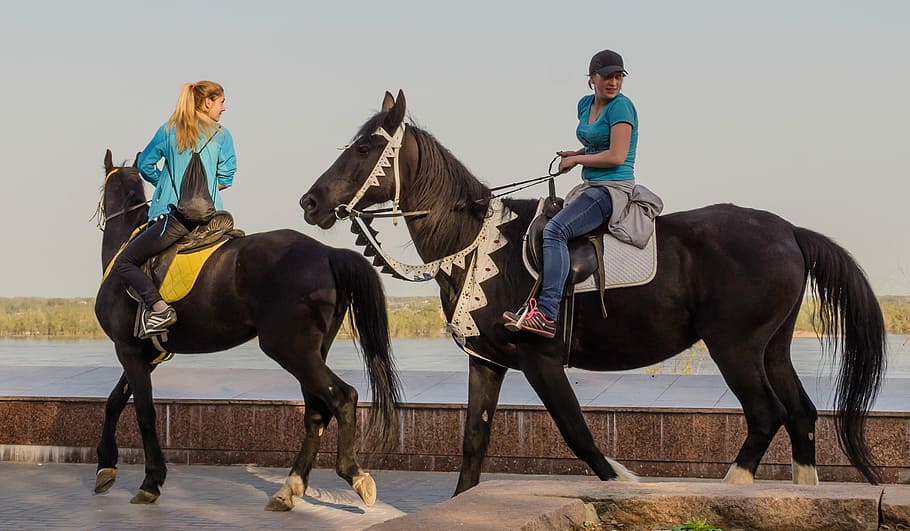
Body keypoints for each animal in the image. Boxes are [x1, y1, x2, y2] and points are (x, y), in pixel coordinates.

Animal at [93, 150, 401, 510]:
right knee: (316, 412)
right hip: (312, 350)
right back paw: (290, 488)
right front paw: (105, 467)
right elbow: (114, 401)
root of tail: (328, 253)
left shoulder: (128, 350)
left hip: (289, 348)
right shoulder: (145, 355)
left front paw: (150, 481)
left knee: (342, 397)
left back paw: (354, 474)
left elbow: (143, 413)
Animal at [300, 90, 887, 494]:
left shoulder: (539, 359)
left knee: (766, 414)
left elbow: (578, 435)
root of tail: (789, 231)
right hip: (773, 346)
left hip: (735, 347)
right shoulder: (486, 361)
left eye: (367, 148)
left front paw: (623, 483)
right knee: (801, 414)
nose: (310, 202)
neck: (476, 244)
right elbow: (473, 442)